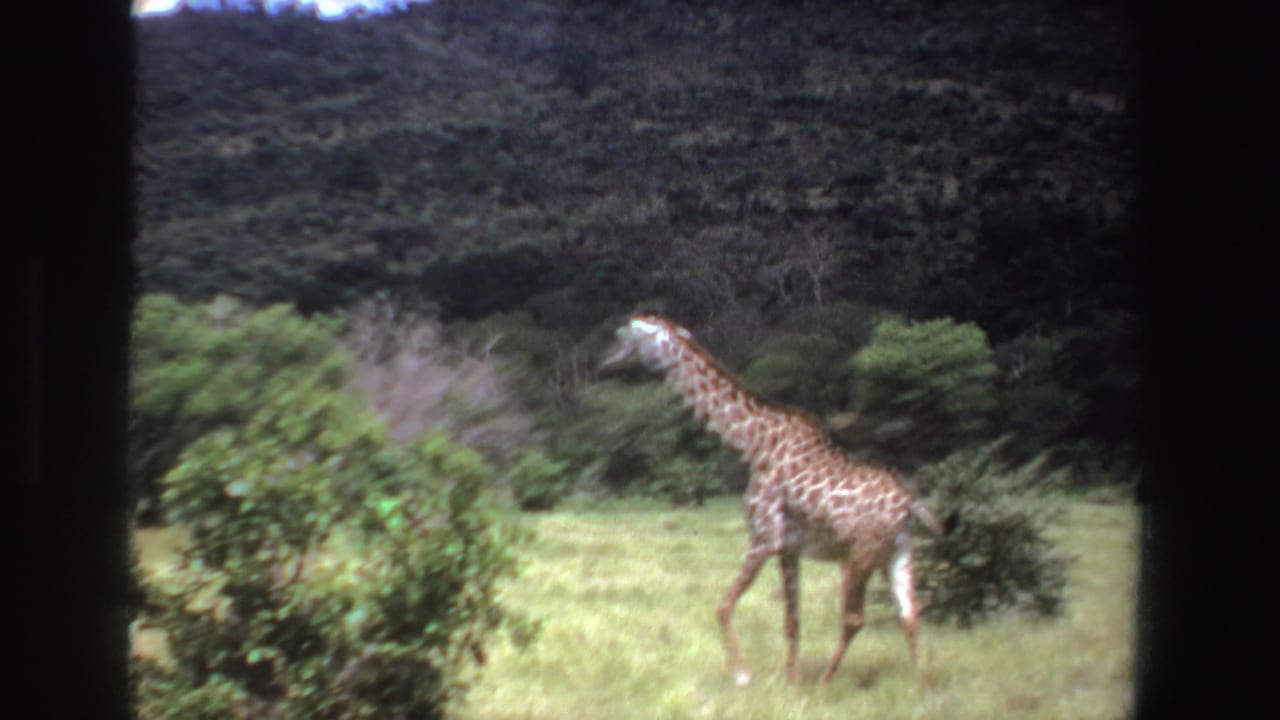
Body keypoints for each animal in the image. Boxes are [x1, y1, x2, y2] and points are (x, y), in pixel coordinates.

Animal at [599, 313, 942, 686]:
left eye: (623, 333)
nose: (605, 362)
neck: (751, 442)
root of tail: (909, 505)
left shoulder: (763, 536)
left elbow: (723, 607)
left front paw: (742, 675)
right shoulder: (788, 546)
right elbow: (791, 620)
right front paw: (789, 680)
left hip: (860, 554)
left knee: (855, 618)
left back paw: (825, 683)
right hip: (896, 552)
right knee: (910, 613)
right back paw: (918, 685)